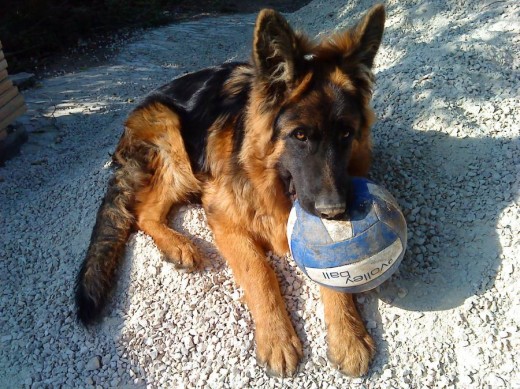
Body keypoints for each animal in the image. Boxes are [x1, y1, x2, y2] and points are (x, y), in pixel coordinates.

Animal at [76, 4, 386, 378]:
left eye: (346, 134)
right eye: (299, 135)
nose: (334, 211)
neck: (271, 183)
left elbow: (330, 267)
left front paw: (349, 336)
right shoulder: (224, 217)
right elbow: (259, 272)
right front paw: (277, 338)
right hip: (173, 136)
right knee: (142, 212)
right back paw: (179, 246)